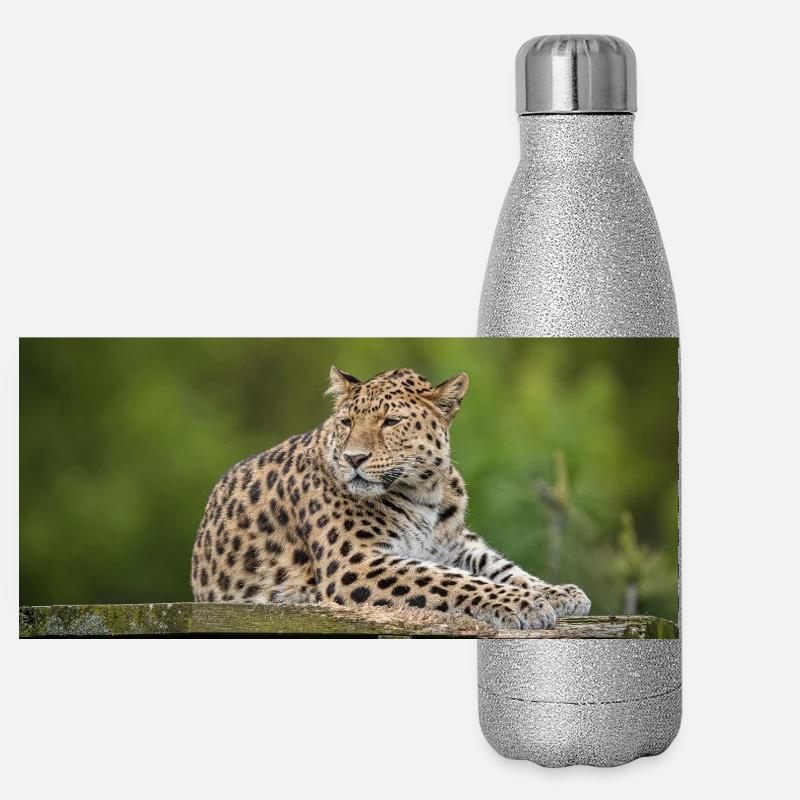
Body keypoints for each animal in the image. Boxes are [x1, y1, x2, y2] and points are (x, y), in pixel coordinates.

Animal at [190, 366, 591, 630]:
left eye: (391, 422)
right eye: (347, 422)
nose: (354, 458)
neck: (426, 492)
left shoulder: (454, 543)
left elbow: (498, 566)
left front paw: (557, 593)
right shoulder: (354, 562)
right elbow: (450, 579)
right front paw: (526, 604)